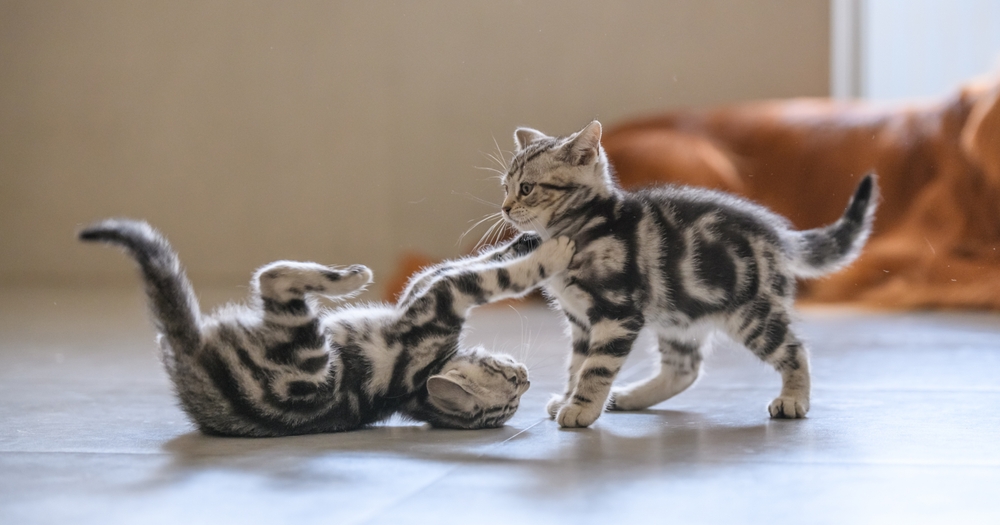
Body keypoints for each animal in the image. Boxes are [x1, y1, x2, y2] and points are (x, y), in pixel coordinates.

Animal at [81, 219, 576, 436]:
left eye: (515, 393)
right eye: (508, 378)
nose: (527, 378)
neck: (414, 387)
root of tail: (192, 356)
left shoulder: (440, 300)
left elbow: (496, 276)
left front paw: (551, 252)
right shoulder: (430, 293)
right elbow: (476, 263)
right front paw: (532, 240)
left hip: (308, 351)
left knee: (271, 277)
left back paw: (345, 277)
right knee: (271, 276)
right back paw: (348, 276)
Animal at [498, 121, 876, 428]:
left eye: (527, 188)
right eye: (506, 187)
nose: (504, 208)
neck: (584, 226)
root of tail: (778, 234)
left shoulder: (616, 313)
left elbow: (596, 367)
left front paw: (582, 408)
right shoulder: (580, 321)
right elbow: (576, 365)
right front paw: (569, 398)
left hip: (751, 314)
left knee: (795, 350)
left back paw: (794, 399)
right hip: (679, 314)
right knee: (684, 369)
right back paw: (630, 397)